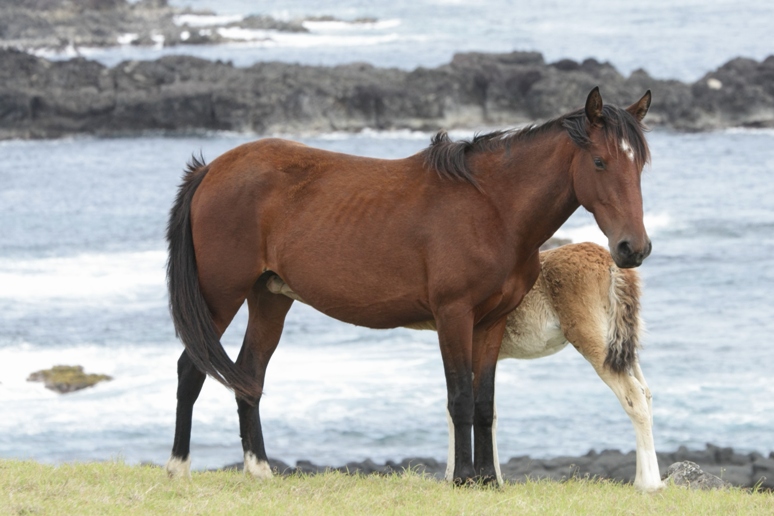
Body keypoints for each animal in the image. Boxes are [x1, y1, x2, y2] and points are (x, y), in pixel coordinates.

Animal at [167, 85, 652, 484]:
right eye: (599, 161)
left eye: (641, 164)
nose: (634, 248)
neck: (492, 207)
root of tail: (211, 170)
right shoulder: (453, 316)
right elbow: (460, 398)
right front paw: (463, 480)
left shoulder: (491, 322)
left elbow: (484, 403)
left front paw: (486, 480)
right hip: (219, 295)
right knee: (192, 368)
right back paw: (178, 468)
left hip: (268, 298)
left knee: (248, 376)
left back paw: (260, 471)